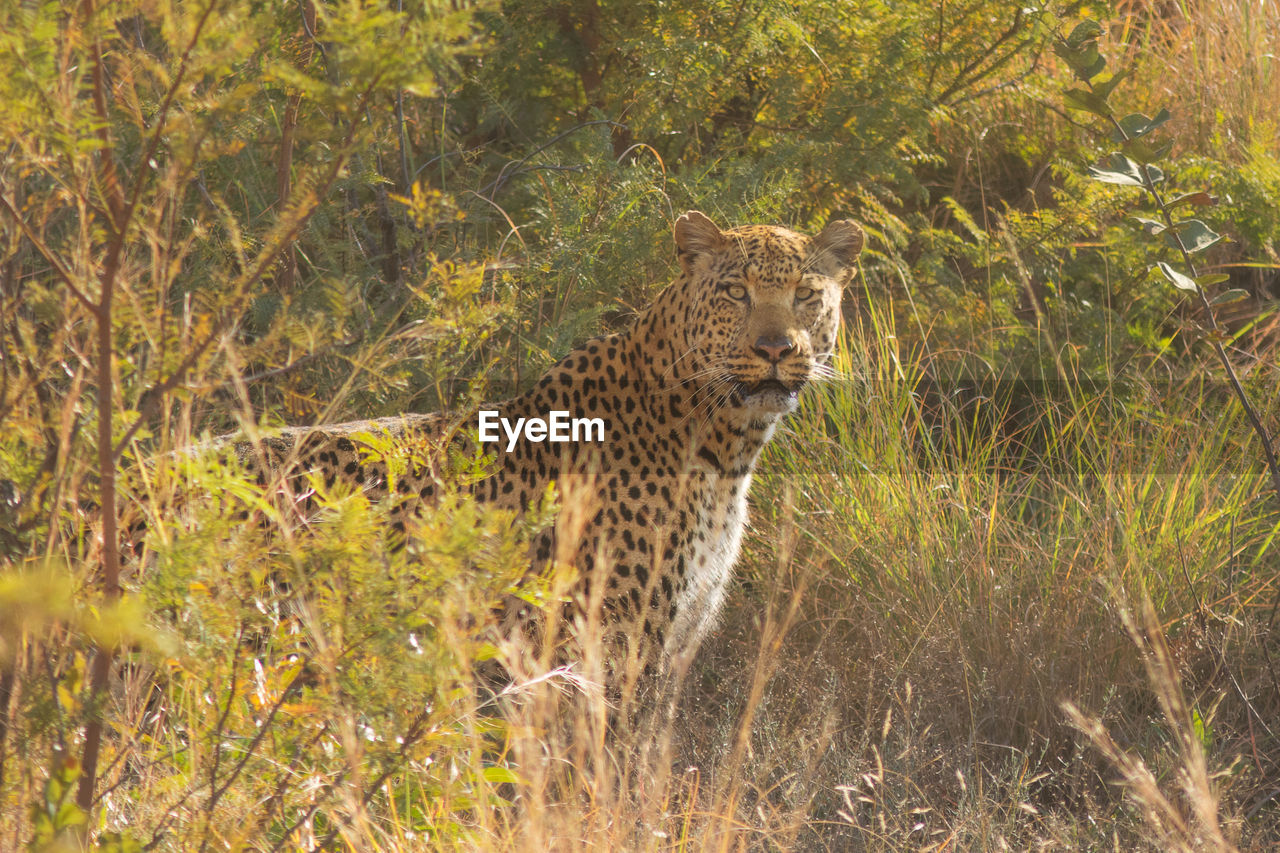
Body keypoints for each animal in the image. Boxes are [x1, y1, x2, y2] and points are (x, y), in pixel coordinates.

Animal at [217, 211, 860, 671]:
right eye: (735, 293)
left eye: (806, 295)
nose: (775, 349)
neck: (727, 449)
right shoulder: (615, 642)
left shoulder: (678, 636)